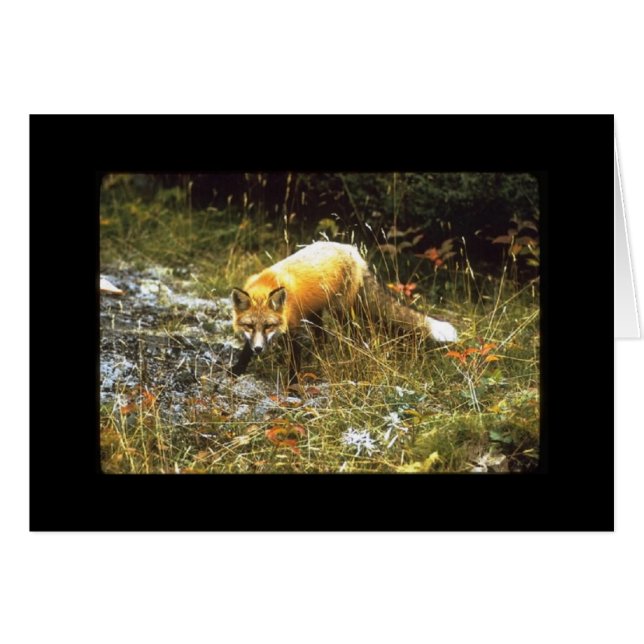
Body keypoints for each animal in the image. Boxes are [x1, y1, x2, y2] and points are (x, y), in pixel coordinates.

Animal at [230, 241, 457, 383]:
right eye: (249, 325)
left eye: (269, 326)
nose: (259, 349)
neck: (267, 284)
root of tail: (353, 251)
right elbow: (245, 351)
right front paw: (237, 371)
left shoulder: (294, 329)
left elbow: (294, 363)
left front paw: (293, 386)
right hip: (316, 313)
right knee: (323, 337)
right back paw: (320, 354)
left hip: (341, 311)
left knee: (351, 335)